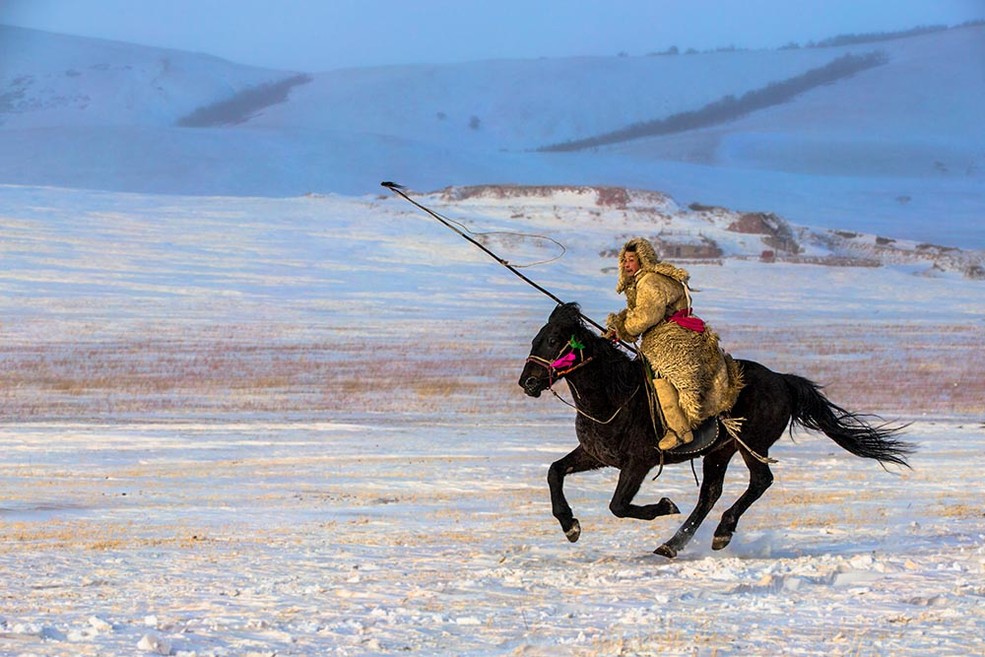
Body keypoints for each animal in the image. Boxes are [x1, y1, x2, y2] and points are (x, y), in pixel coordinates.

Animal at [518, 302, 913, 558]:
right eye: (536, 339)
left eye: (552, 340)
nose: (528, 383)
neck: (615, 395)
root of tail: (783, 380)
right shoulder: (595, 454)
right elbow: (554, 472)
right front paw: (570, 526)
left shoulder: (639, 462)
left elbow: (618, 505)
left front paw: (663, 505)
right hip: (719, 451)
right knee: (710, 493)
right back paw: (672, 545)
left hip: (752, 444)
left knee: (759, 481)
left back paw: (720, 534)